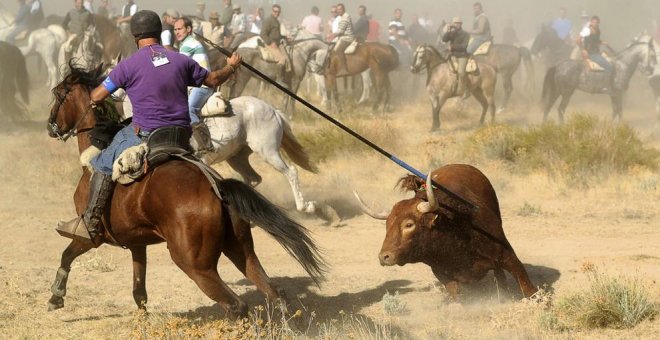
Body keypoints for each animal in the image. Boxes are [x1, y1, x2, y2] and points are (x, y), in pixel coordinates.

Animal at [43, 65, 328, 318]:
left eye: (58, 94)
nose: (50, 126)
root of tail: (218, 189)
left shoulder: (92, 236)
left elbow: (67, 254)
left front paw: (56, 296)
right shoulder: (137, 241)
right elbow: (139, 288)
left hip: (196, 261)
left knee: (237, 304)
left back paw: (307, 206)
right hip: (241, 242)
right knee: (273, 290)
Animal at [356, 163, 536, 298]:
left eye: (409, 225)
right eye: (387, 225)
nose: (384, 257)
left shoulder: (508, 255)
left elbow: (527, 287)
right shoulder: (442, 274)